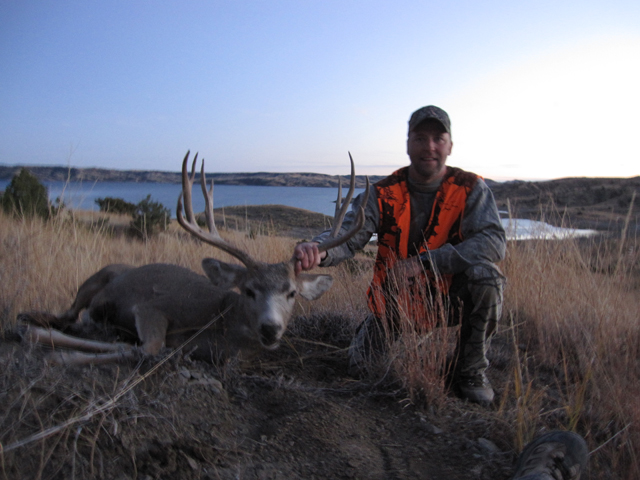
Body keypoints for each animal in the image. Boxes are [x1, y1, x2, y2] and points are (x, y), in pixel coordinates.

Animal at [21, 152, 370, 366]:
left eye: (292, 293)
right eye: (249, 291)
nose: (271, 328)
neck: (219, 328)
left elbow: (140, 348)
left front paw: (55, 351)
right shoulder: (153, 308)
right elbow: (146, 348)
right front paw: (54, 352)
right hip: (95, 278)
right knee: (69, 314)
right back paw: (35, 321)